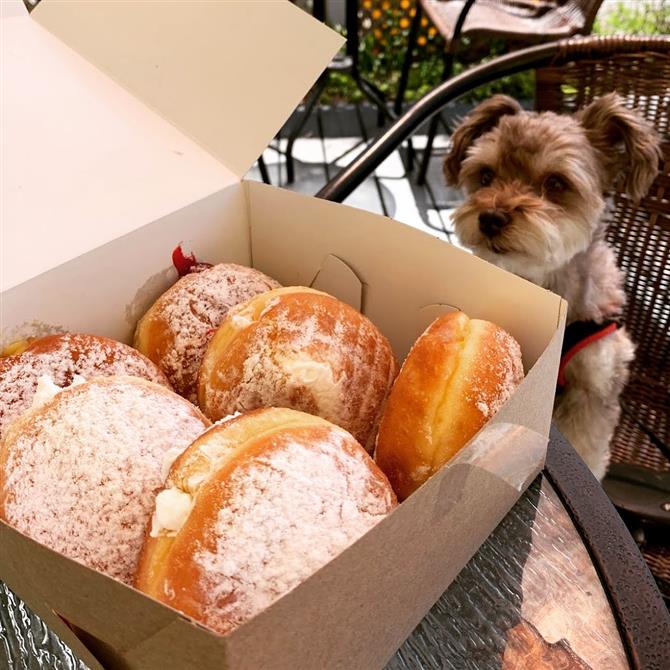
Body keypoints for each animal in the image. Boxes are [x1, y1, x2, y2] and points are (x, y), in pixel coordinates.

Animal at [446, 96, 660, 484]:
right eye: (485, 175)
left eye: (556, 182)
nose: (491, 218)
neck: (542, 282)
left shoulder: (593, 390)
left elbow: (589, 449)